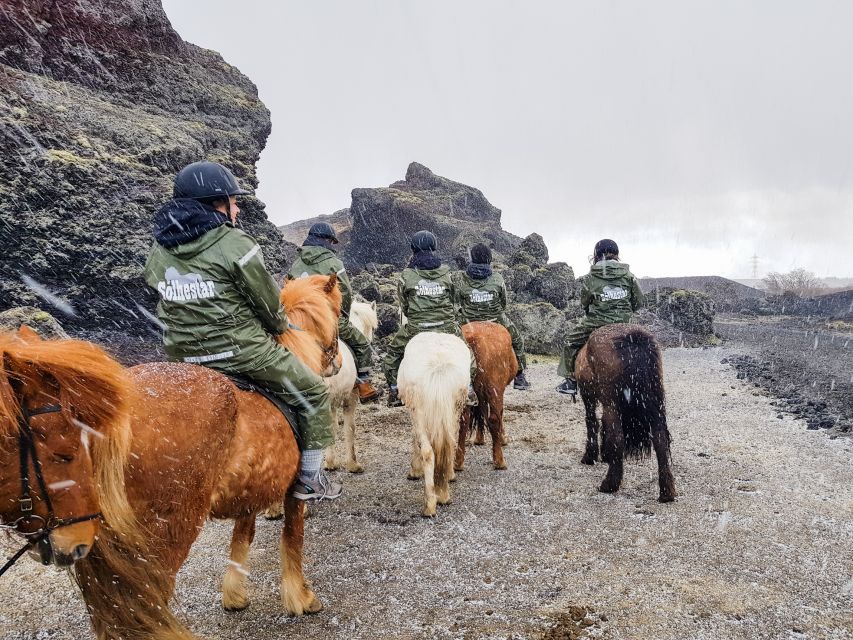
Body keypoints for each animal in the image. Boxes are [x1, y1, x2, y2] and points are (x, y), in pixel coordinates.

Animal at [400, 332, 472, 516]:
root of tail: (438, 365)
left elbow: (414, 440)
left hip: (419, 411)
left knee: (427, 451)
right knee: (449, 445)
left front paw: (414, 471)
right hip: (453, 408)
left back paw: (430, 504)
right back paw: (443, 494)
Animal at [456, 322, 516, 472]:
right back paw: (499, 461)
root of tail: (473, 337)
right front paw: (502, 438)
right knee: (494, 418)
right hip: (494, 387)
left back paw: (458, 463)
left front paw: (479, 438)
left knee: (464, 419)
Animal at [576, 322, 676, 502]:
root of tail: (634, 338)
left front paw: (591, 456)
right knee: (660, 439)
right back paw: (666, 492)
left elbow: (592, 422)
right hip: (653, 400)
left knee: (617, 436)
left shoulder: (588, 396)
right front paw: (606, 455)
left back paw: (609, 484)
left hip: (610, 401)